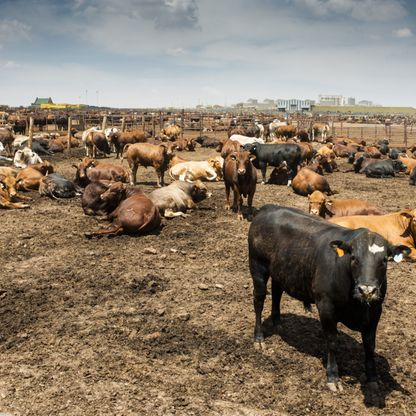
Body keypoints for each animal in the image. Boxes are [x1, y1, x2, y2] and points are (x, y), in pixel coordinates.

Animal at [249, 206, 408, 392]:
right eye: (354, 258)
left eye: (384, 260)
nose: (367, 290)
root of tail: (268, 207)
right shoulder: (326, 307)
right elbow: (332, 341)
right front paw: (333, 377)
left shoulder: (376, 310)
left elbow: (369, 344)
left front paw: (373, 377)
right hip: (257, 267)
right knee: (258, 301)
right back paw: (259, 338)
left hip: (280, 272)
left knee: (276, 293)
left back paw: (278, 324)